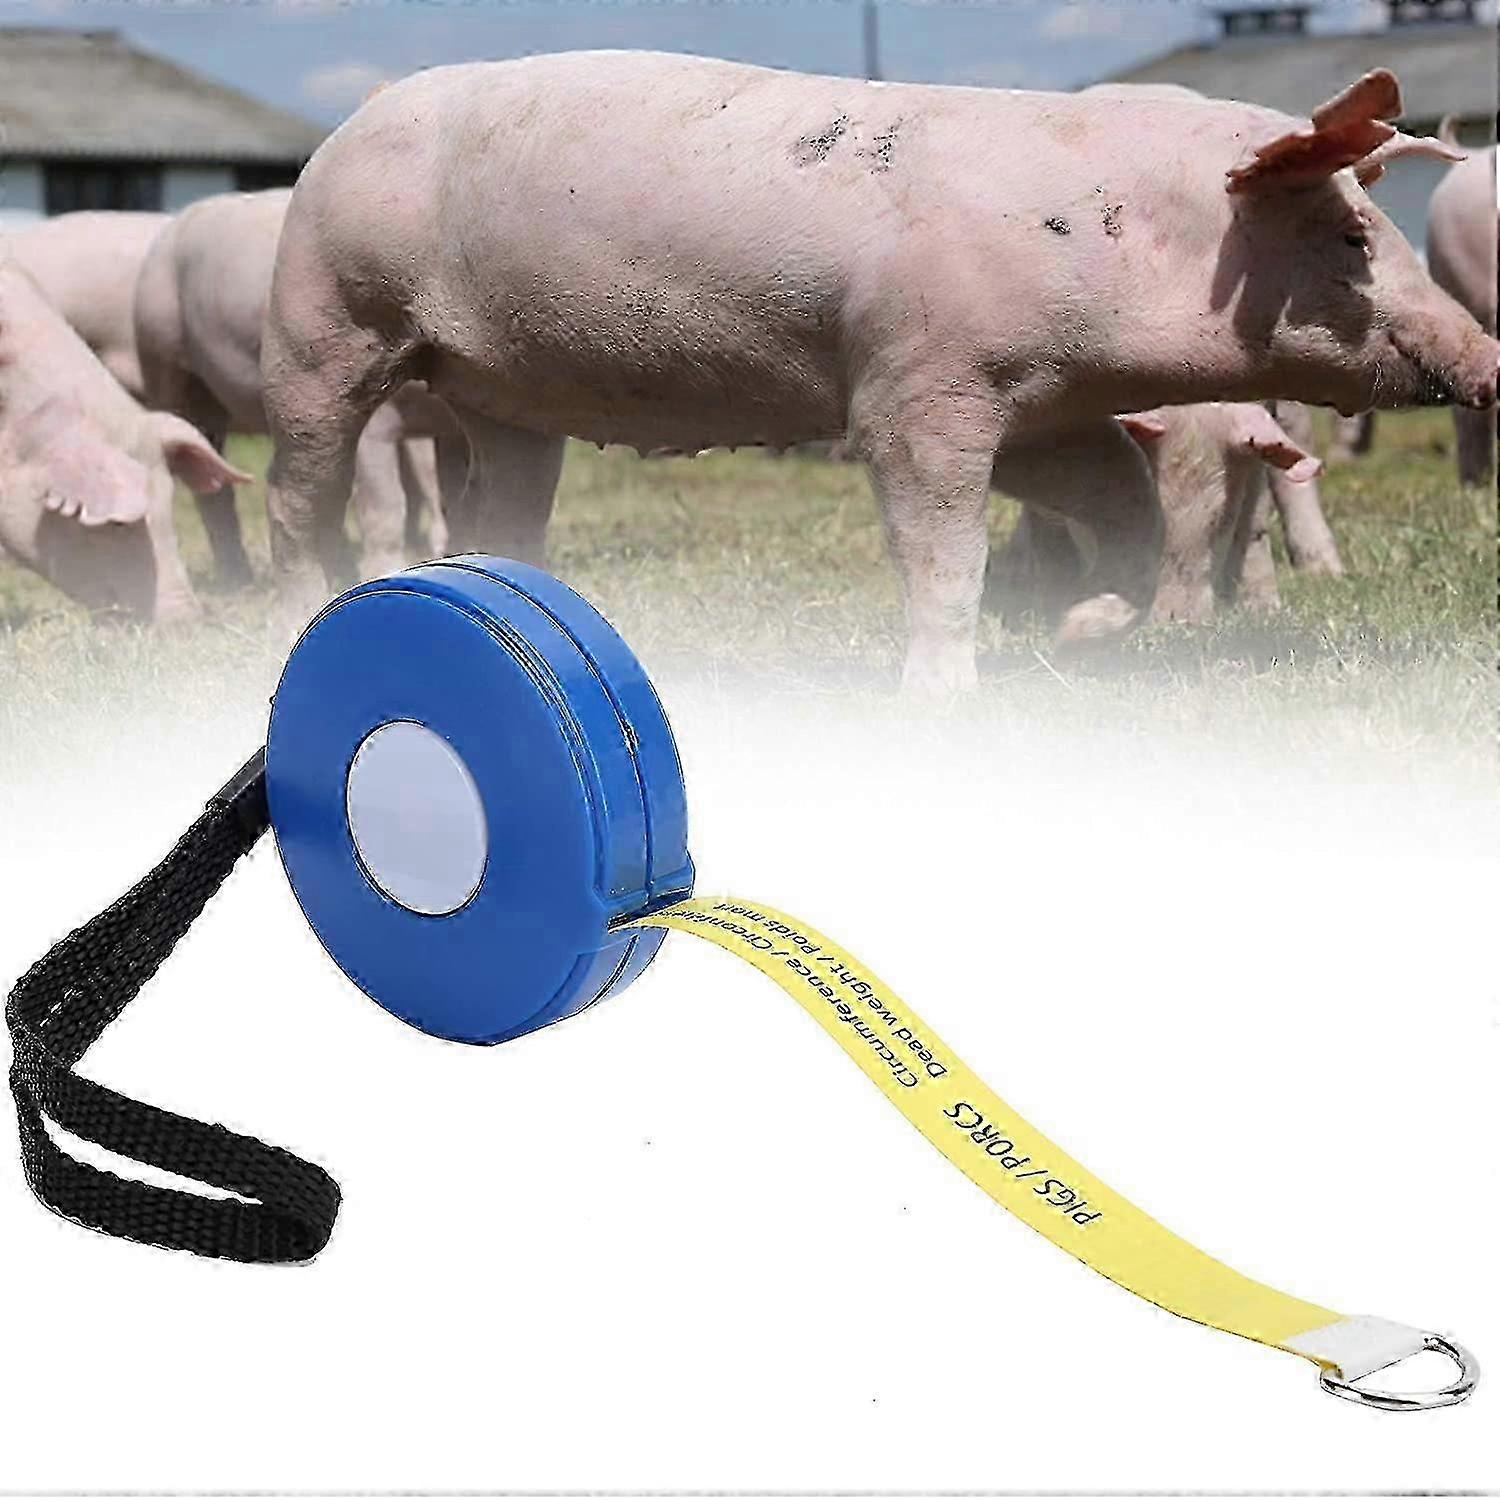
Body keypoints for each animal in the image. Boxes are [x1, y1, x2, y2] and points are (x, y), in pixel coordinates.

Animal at [133, 189, 451, 587]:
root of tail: (172, 225)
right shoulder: (374, 421)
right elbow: (385, 506)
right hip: (168, 363)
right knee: (211, 481)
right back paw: (238, 582)